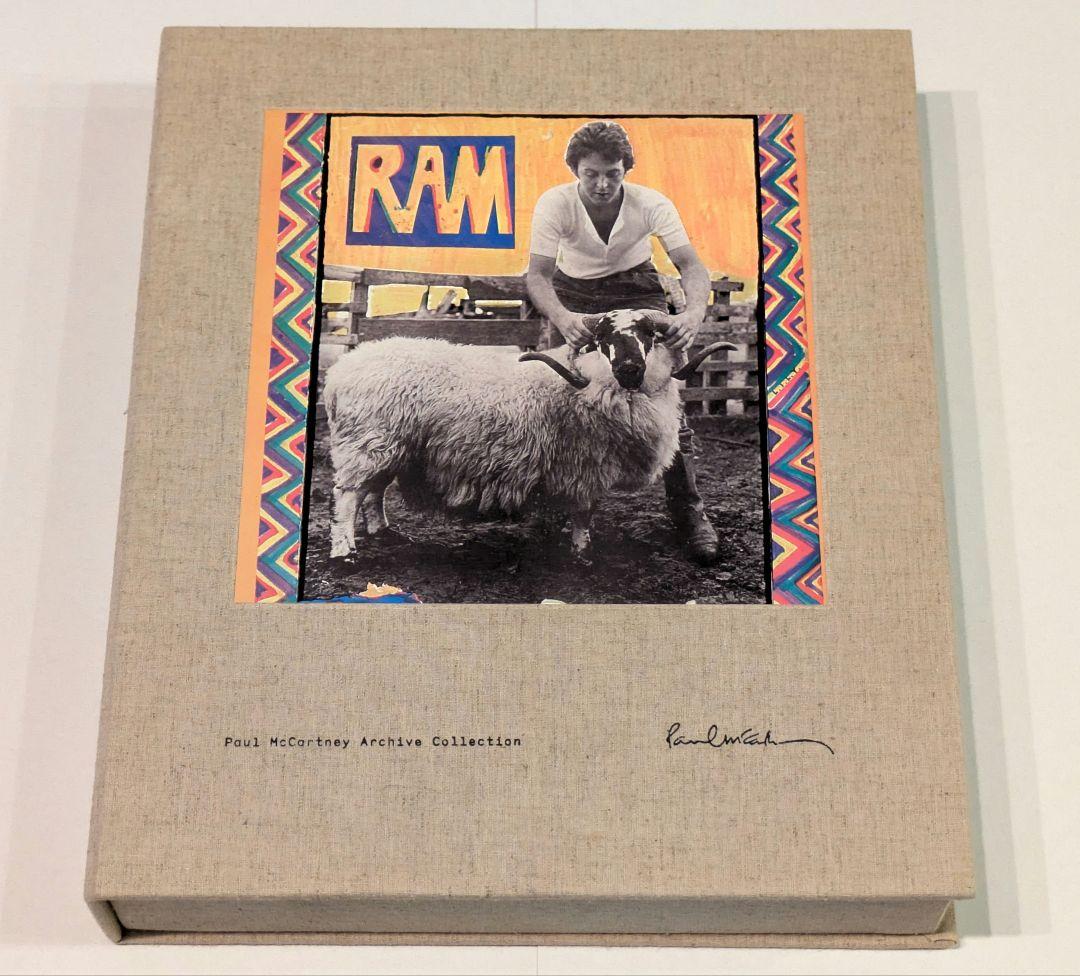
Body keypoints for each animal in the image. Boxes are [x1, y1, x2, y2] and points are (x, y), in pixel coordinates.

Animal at [323, 309, 735, 558]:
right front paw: (582, 552)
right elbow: (584, 511)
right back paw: (346, 552)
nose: (631, 369)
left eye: (648, 334)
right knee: (348, 496)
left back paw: (383, 533)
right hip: (367, 442)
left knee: (374, 492)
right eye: (603, 337)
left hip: (389, 445)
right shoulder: (583, 468)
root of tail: (340, 372)